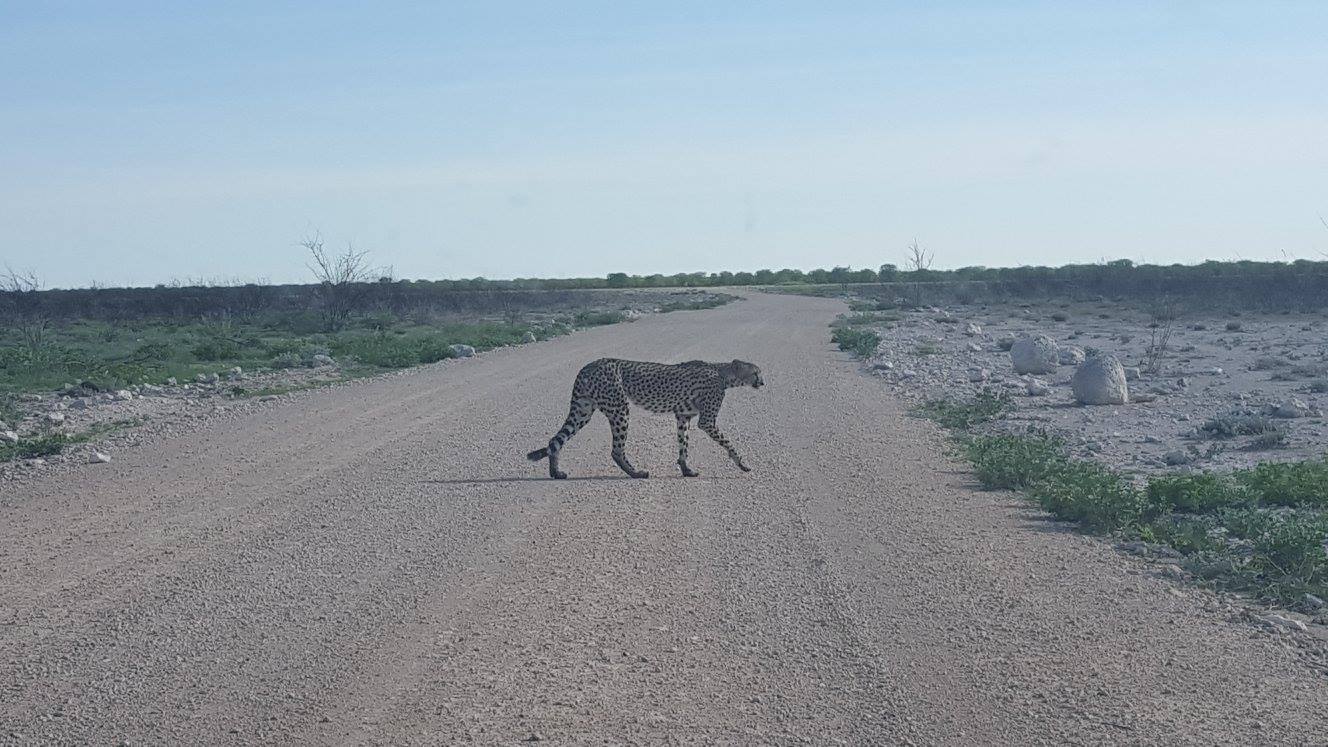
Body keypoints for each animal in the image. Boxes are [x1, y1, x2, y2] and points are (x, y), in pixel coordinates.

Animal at [523, 358, 764, 475]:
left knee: (556, 439)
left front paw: (686, 469)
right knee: (616, 450)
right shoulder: (706, 421)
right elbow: (728, 442)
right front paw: (742, 464)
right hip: (619, 408)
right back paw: (636, 473)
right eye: (756, 372)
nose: (763, 382)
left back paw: (556, 472)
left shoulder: (683, 416)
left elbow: (683, 444)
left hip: (583, 410)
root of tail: (588, 365)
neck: (724, 374)